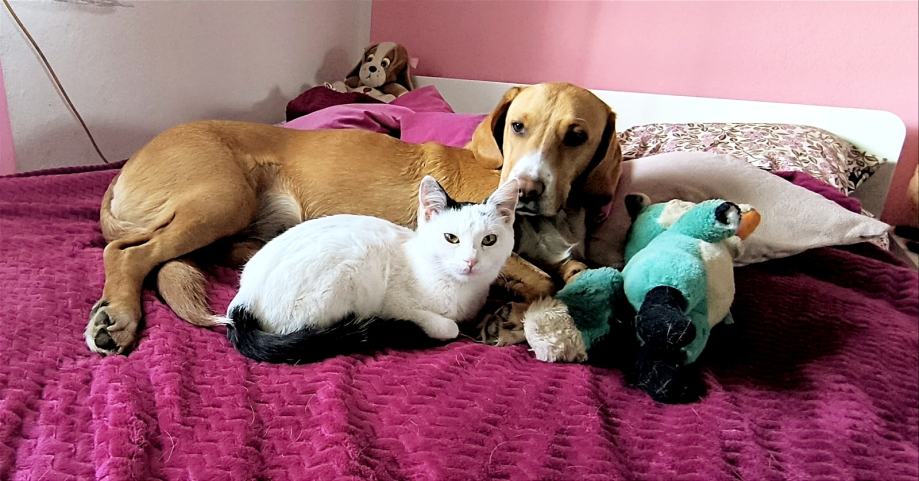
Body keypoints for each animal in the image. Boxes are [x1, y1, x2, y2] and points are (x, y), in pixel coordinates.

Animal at [223, 175, 519, 363]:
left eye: (489, 240)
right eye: (451, 238)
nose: (471, 261)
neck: (460, 291)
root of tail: (242, 300)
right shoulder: (393, 302)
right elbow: (450, 327)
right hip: (351, 269)